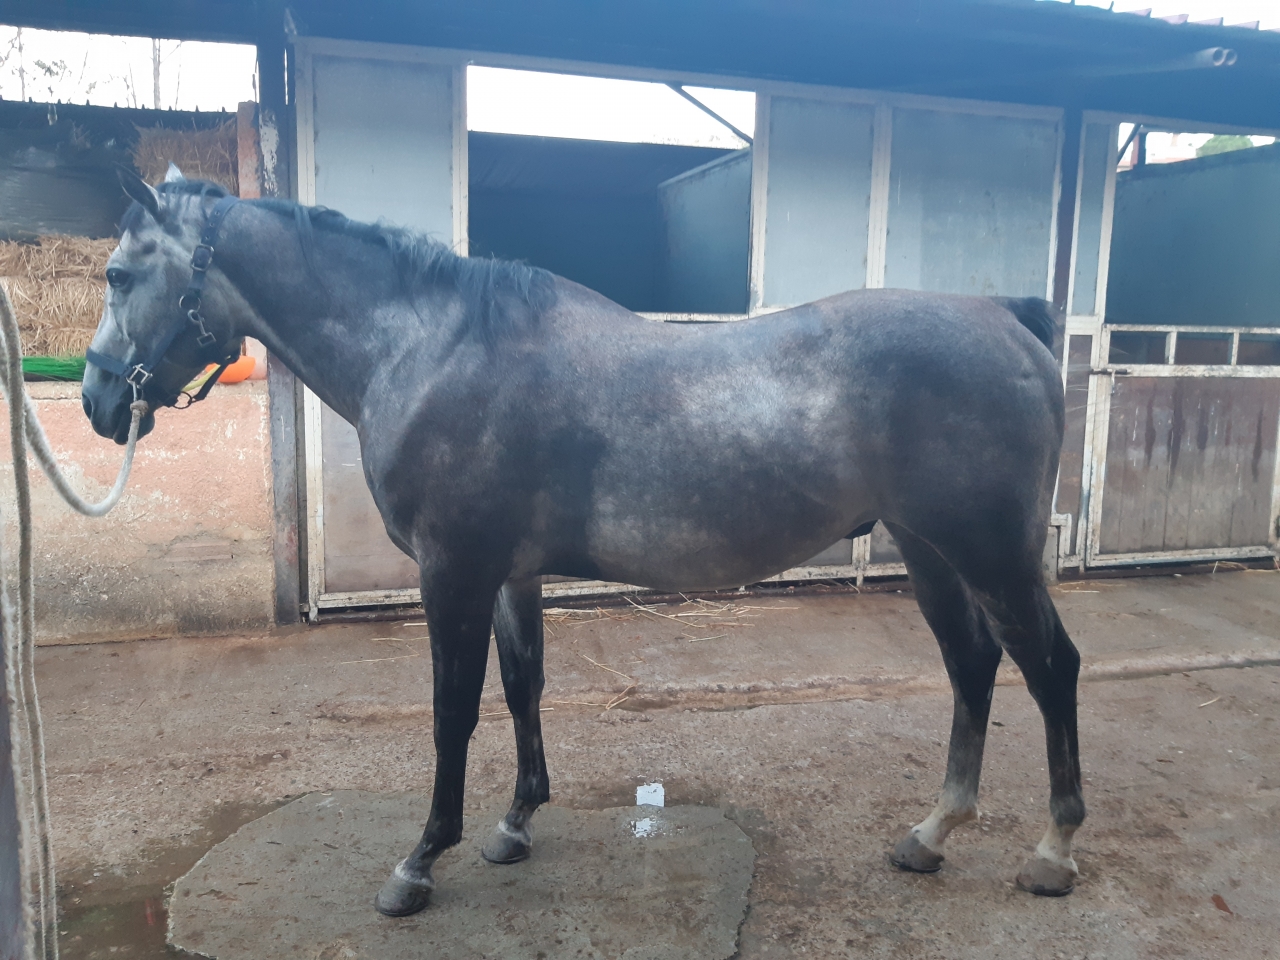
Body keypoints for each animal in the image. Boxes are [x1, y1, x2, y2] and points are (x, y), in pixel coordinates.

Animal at [81, 169, 1084, 917]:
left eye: (120, 276)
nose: (94, 401)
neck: (434, 350)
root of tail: (1007, 320)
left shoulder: (453, 572)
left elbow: (453, 710)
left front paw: (419, 863)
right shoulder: (509, 576)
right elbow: (524, 685)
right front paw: (515, 825)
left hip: (988, 552)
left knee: (1049, 666)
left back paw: (1052, 851)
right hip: (930, 550)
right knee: (974, 665)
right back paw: (931, 835)